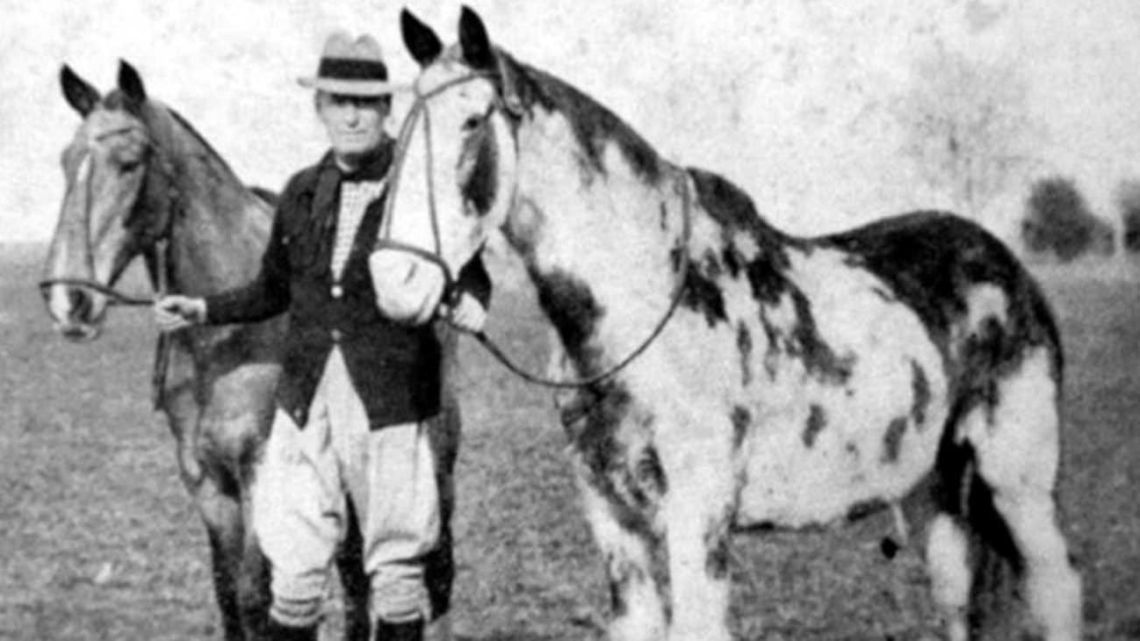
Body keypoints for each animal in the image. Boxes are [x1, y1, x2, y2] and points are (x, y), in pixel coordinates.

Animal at [366, 7, 1083, 641]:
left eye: (471, 121)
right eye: (401, 127)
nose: (394, 280)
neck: (644, 301)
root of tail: (1007, 266)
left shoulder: (698, 508)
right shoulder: (611, 513)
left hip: (1016, 481)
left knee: (1057, 590)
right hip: (926, 487)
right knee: (958, 596)